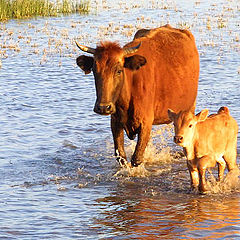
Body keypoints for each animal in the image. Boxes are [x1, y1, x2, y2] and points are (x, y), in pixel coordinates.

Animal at [76, 24, 199, 167]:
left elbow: (137, 158)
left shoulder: (146, 122)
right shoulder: (115, 122)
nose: (103, 107)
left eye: (119, 71)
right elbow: (122, 157)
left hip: (190, 107)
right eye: (95, 71)